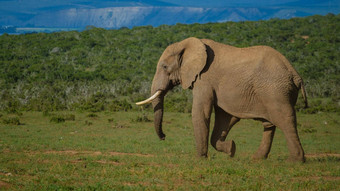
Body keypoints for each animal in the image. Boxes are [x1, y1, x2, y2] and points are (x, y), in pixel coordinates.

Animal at [135, 37, 308, 161]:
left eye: (164, 67)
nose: (164, 137)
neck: (187, 44)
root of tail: (295, 74)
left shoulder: (204, 79)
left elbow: (201, 112)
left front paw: (200, 159)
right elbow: (225, 117)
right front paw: (231, 149)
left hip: (275, 90)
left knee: (285, 120)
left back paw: (296, 161)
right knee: (269, 124)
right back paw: (258, 158)